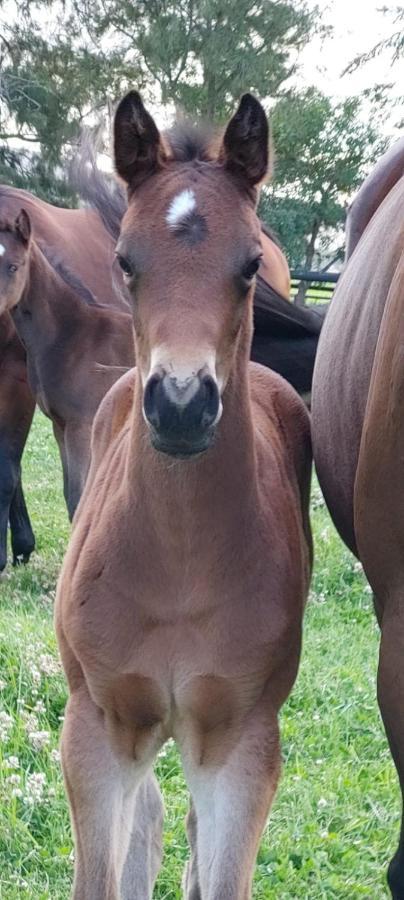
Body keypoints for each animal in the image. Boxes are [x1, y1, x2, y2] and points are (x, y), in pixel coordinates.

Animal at [54, 88, 312, 896]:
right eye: (125, 261)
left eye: (251, 263)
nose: (179, 405)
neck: (177, 565)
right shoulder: (96, 725)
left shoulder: (241, 741)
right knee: (151, 816)